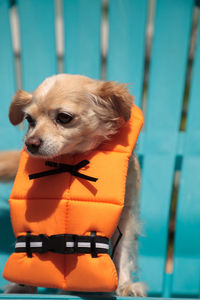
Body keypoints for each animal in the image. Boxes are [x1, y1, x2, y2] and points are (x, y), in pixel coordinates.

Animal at [0, 74, 145, 296]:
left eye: (64, 117)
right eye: (29, 120)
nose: (30, 143)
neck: (73, 157)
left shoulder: (127, 214)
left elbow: (124, 250)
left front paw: (126, 285)